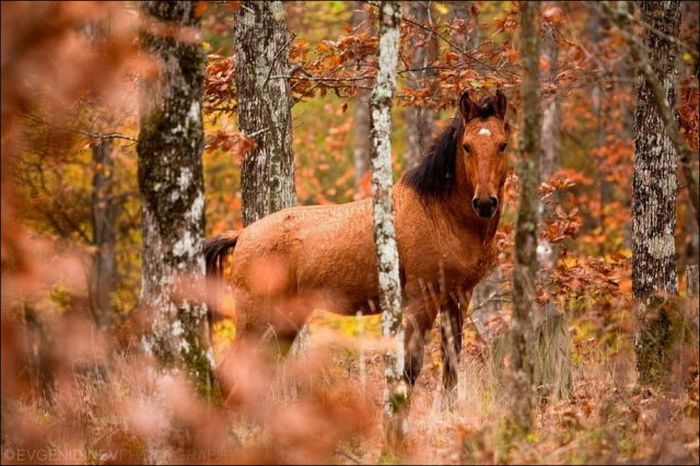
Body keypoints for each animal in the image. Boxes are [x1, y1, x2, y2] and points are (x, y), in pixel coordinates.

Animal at [204, 90, 508, 394]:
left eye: (502, 145)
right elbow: (410, 369)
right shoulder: (423, 299)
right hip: (255, 321)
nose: (485, 203)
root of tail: (242, 235)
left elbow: (450, 372)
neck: (439, 214)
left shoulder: (458, 298)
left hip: (285, 322)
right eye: (467, 146)